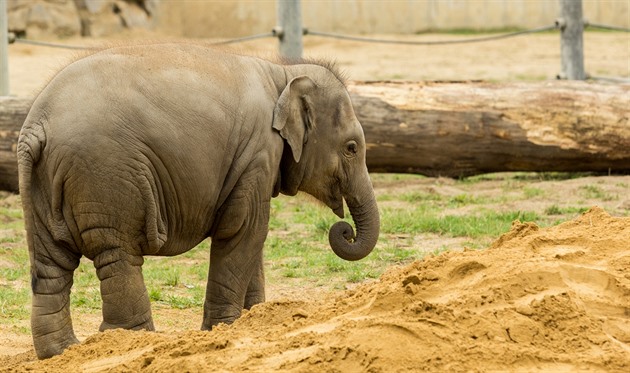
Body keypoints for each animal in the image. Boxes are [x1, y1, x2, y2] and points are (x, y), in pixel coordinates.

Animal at [17, 42, 380, 358]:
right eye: (352, 148)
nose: (344, 230)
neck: (282, 73)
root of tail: (38, 125)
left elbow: (252, 238)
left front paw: (258, 320)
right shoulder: (257, 153)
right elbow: (244, 229)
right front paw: (223, 330)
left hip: (42, 185)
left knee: (51, 263)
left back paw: (62, 352)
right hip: (107, 173)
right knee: (117, 253)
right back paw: (129, 342)